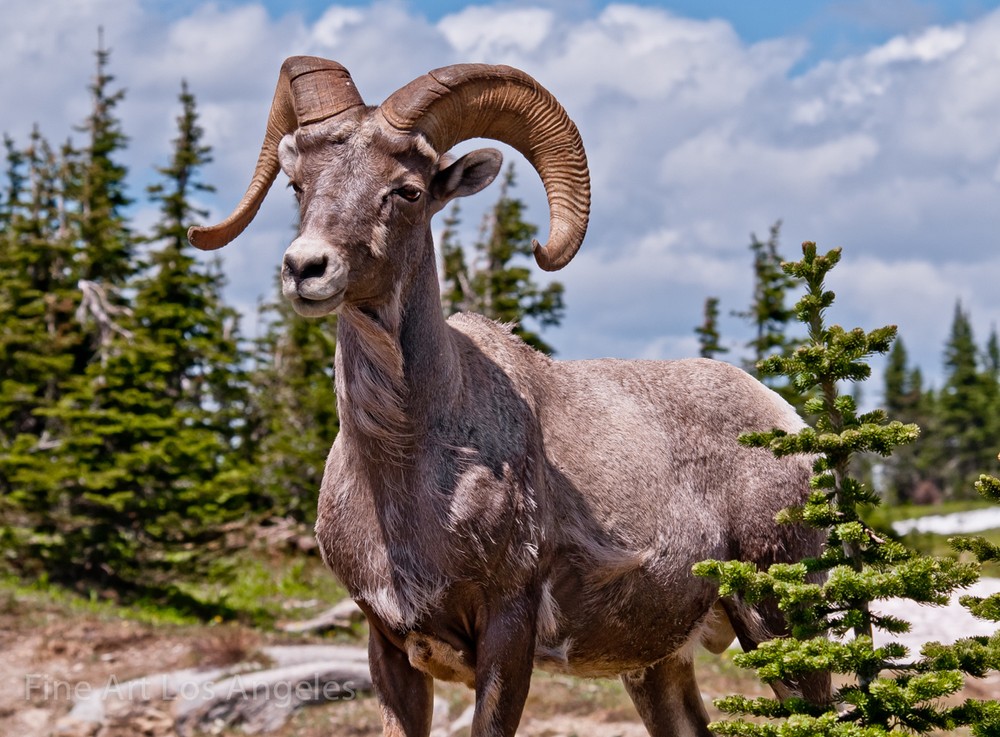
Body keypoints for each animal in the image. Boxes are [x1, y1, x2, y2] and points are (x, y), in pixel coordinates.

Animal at [189, 56, 830, 737]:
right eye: (297, 185)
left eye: (407, 190)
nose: (306, 268)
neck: (402, 472)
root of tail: (789, 425)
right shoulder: (387, 647)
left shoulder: (507, 629)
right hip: (656, 668)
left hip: (779, 622)